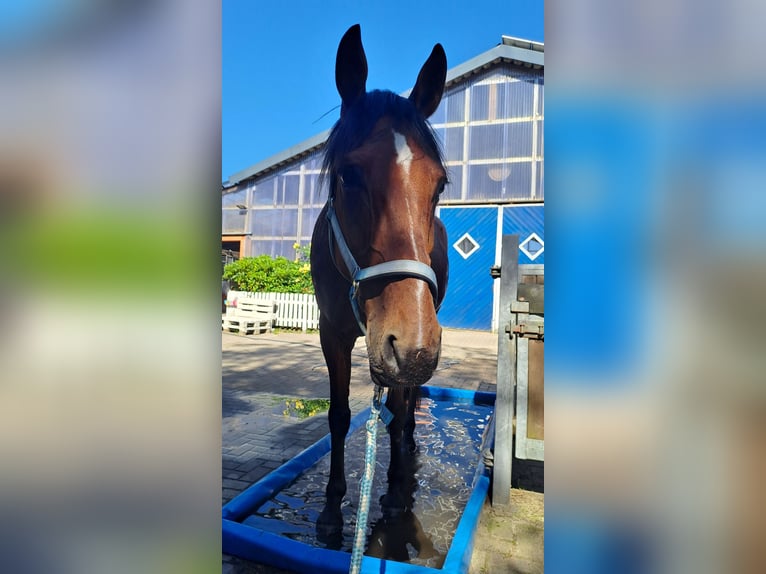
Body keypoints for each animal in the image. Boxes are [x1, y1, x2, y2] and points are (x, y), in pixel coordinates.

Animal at [310, 24, 449, 545]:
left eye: (440, 185)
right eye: (348, 175)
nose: (413, 345)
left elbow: (396, 413)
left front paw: (393, 492)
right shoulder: (332, 333)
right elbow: (339, 415)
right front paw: (332, 507)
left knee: (404, 410)